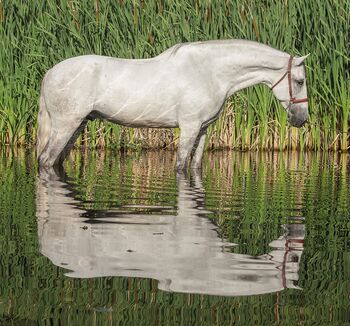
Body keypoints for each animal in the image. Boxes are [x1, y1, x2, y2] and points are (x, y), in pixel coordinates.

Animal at [37, 39, 308, 169]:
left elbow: (196, 166)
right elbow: (180, 166)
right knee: (46, 161)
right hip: (65, 125)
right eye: (300, 81)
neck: (210, 72)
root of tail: (50, 73)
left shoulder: (203, 129)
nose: (301, 119)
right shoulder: (188, 127)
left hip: (79, 125)